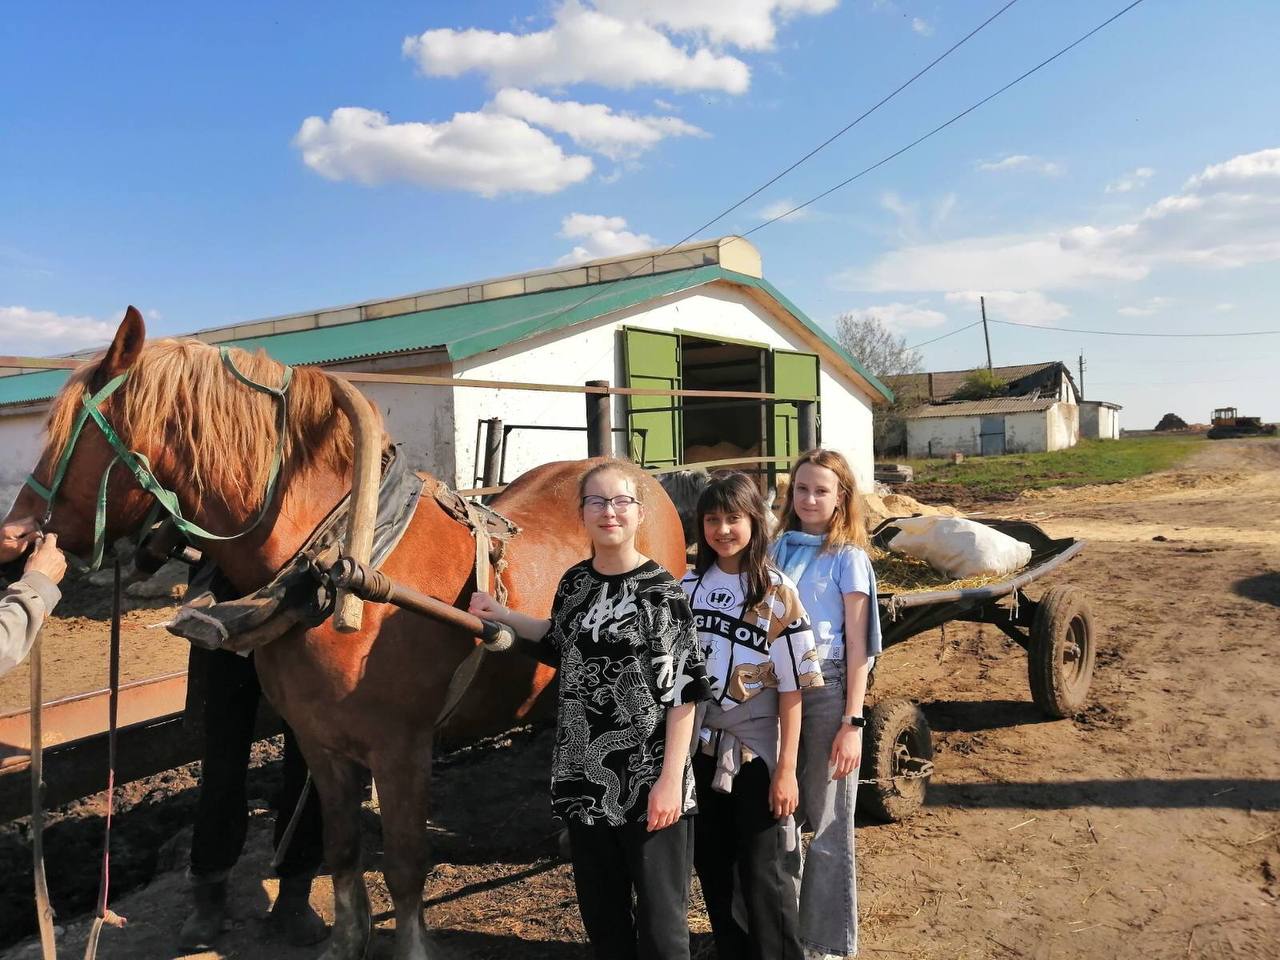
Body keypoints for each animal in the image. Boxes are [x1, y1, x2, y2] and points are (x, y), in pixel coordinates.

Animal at [7, 309, 691, 960]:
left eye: (73, 433)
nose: (15, 539)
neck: (347, 565)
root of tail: (638, 478)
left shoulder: (400, 748)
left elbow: (407, 862)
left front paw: (411, 948)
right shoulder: (320, 742)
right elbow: (340, 849)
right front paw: (343, 941)